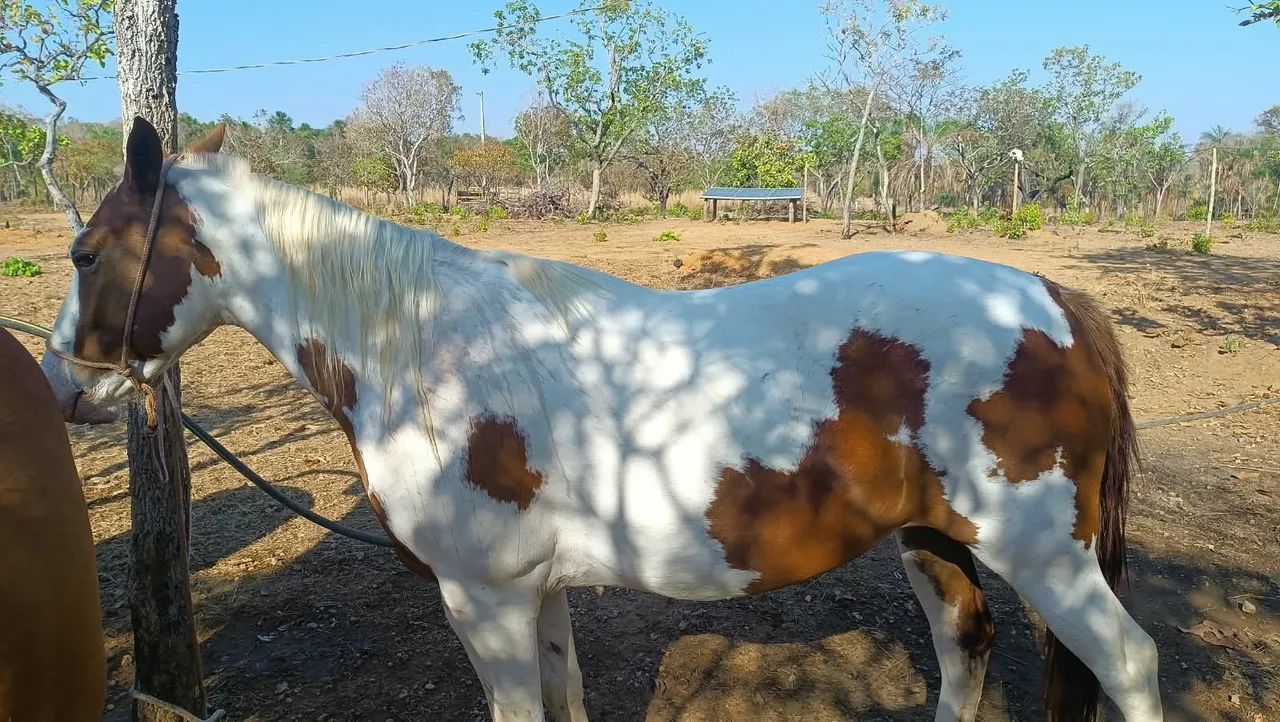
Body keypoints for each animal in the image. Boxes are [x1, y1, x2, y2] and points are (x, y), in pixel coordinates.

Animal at [42, 117, 1163, 722]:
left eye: (87, 252)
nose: (65, 386)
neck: (432, 351)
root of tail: (1058, 300)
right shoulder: (535, 594)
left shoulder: (483, 597)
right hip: (932, 539)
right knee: (964, 647)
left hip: (1043, 556)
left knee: (1127, 662)